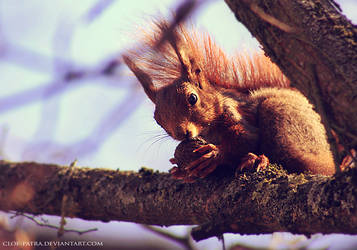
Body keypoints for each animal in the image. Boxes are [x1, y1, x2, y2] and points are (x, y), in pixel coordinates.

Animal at [122, 20, 334, 183]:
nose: (182, 134)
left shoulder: (236, 112)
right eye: (158, 120)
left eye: (192, 98)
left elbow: (245, 138)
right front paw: (181, 170)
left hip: (284, 119)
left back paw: (258, 159)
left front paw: (214, 155)